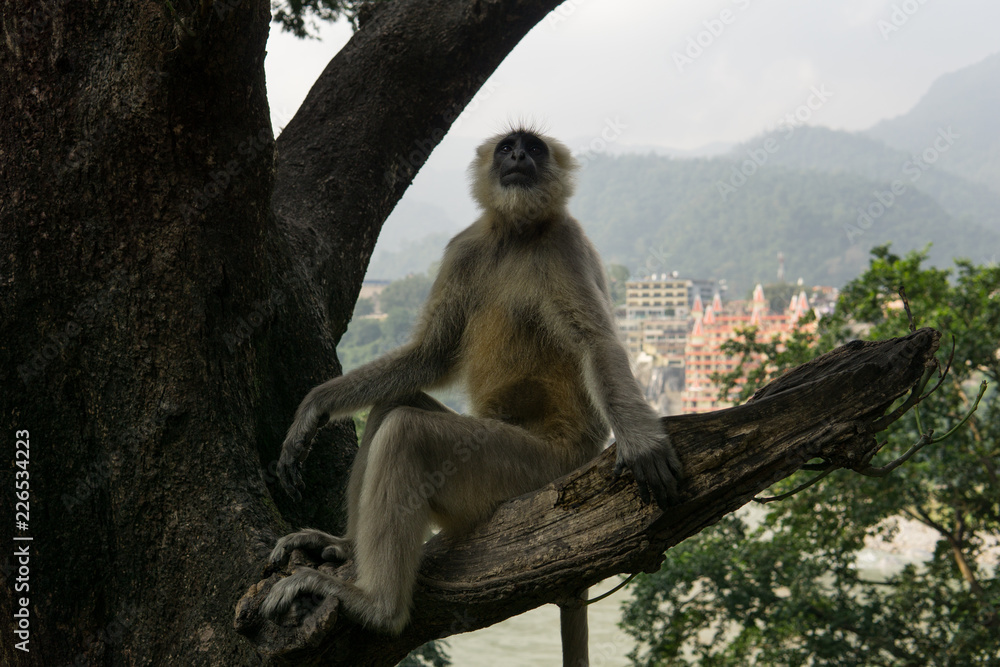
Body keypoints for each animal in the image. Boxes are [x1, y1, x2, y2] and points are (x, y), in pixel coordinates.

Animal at [262, 124, 684, 664]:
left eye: (534, 148)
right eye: (508, 148)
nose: (520, 156)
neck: (515, 233)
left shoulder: (564, 241)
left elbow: (597, 343)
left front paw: (642, 443)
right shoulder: (464, 248)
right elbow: (430, 355)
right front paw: (314, 409)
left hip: (530, 468)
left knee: (406, 431)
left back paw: (378, 607)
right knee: (392, 407)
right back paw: (349, 548)